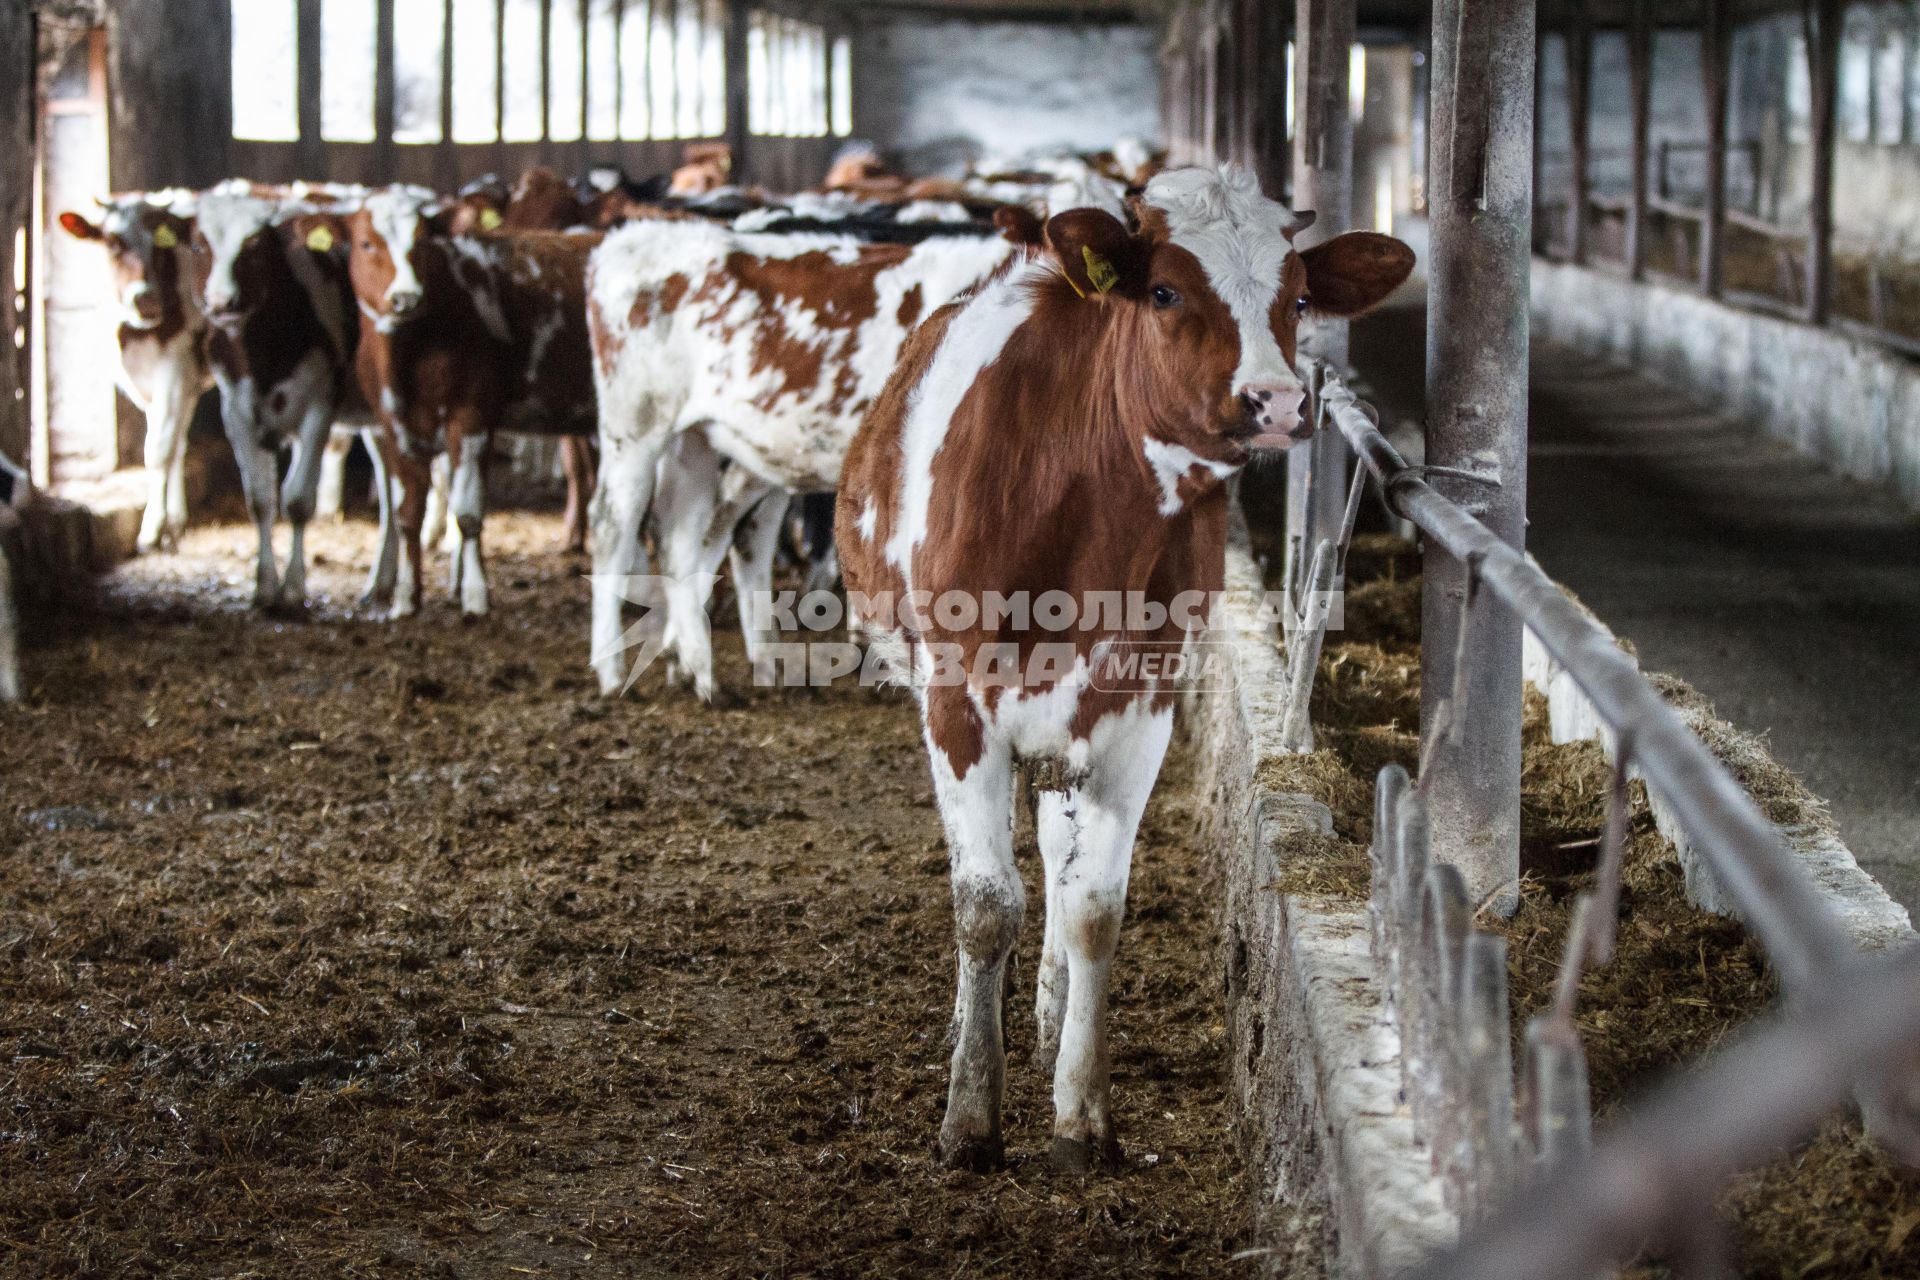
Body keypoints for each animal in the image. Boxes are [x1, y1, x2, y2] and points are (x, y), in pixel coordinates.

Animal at [837, 165, 1413, 1174]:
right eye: (1166, 291)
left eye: (1300, 296)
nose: (1276, 400)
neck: (1078, 522)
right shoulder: (955, 707)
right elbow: (983, 904)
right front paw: (970, 1115)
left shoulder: (1141, 709)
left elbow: (1094, 906)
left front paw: (1081, 1112)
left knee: (1056, 858)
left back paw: (1047, 1013)